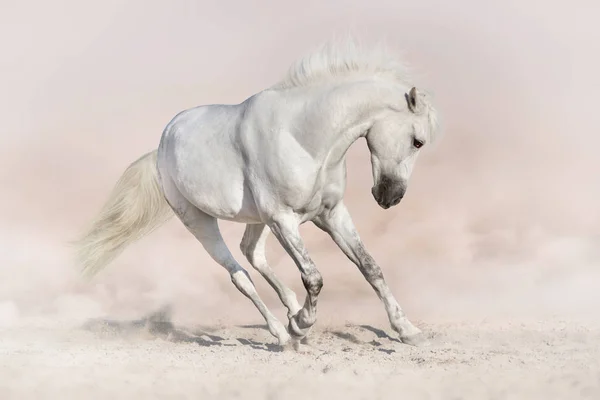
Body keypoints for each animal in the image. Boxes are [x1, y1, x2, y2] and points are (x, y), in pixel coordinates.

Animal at [75, 39, 440, 348]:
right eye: (417, 141)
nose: (390, 196)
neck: (303, 138)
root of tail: (162, 145)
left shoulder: (330, 214)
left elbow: (370, 267)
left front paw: (408, 331)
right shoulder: (283, 219)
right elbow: (313, 277)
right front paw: (303, 322)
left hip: (257, 220)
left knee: (252, 253)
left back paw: (290, 312)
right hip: (200, 222)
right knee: (240, 274)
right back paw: (283, 333)